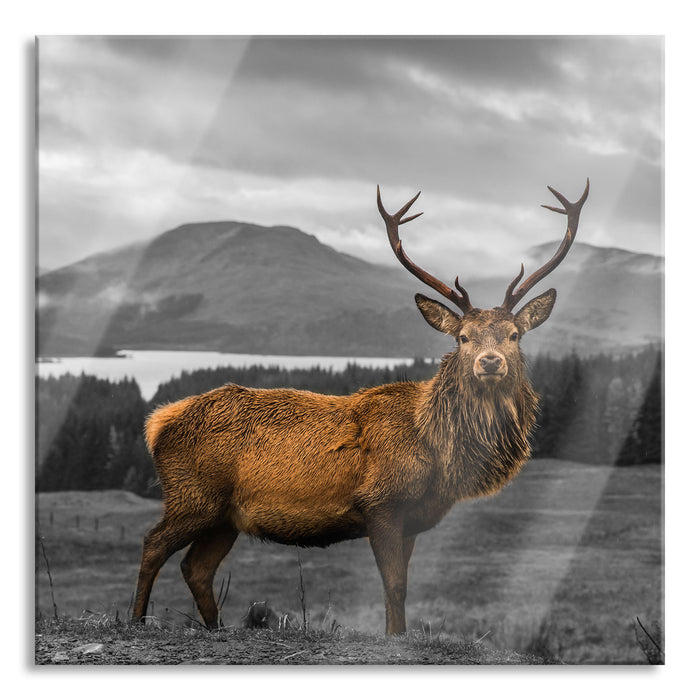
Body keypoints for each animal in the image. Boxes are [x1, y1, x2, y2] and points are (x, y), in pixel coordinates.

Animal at [132, 179, 589, 635]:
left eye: (514, 335)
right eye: (463, 337)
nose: (489, 362)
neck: (437, 452)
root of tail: (157, 423)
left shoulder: (412, 518)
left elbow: (398, 587)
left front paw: (394, 633)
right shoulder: (380, 501)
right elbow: (394, 585)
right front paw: (395, 636)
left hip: (224, 516)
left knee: (196, 568)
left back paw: (216, 628)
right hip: (193, 495)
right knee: (153, 543)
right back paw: (137, 620)